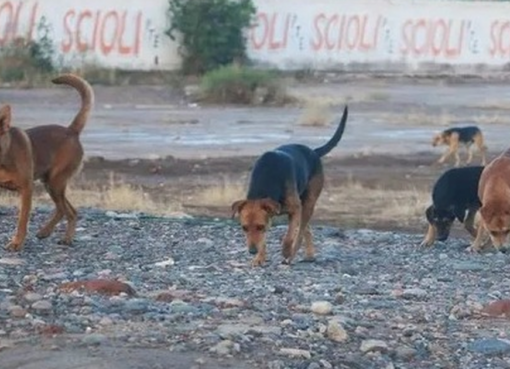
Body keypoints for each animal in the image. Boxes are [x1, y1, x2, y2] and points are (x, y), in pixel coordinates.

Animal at [0, 73, 93, 250]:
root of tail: (71, 131)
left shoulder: (27, 190)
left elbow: (22, 220)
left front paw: (17, 243)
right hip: (51, 184)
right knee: (66, 210)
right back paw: (47, 232)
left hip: (55, 182)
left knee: (68, 210)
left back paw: (64, 238)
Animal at [230, 105, 346, 264]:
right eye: (244, 228)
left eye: (260, 227)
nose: (252, 251)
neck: (268, 178)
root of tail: (314, 152)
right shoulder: (270, 217)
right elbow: (264, 240)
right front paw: (260, 258)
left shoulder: (295, 210)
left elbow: (289, 236)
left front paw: (285, 251)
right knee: (306, 229)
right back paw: (309, 254)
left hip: (308, 204)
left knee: (301, 231)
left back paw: (292, 254)